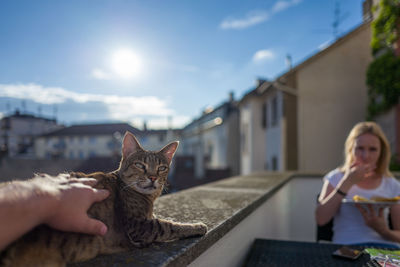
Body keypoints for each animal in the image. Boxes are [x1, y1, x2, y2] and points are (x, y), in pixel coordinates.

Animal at [2, 132, 209, 267]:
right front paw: (196, 226)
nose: (152, 177)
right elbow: (168, 226)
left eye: (162, 168)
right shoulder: (138, 227)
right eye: (140, 165)